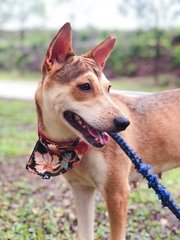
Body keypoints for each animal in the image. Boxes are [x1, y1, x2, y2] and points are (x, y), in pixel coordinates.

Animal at [28, 22, 180, 238]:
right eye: (85, 86)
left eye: (108, 88)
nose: (124, 123)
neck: (72, 145)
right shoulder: (81, 190)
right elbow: (85, 233)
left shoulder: (117, 194)